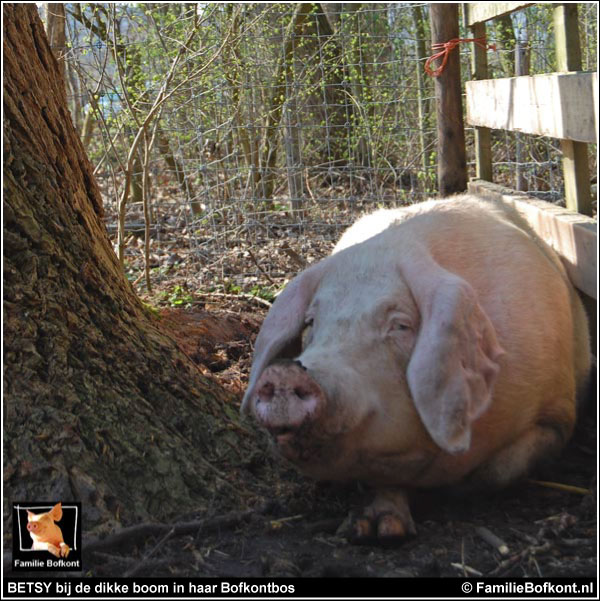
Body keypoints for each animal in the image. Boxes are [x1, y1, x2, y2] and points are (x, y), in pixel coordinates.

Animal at [240, 197, 592, 540]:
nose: (286, 372)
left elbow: (497, 470)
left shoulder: (558, 413)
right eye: (312, 321)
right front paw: (372, 529)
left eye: (401, 325)